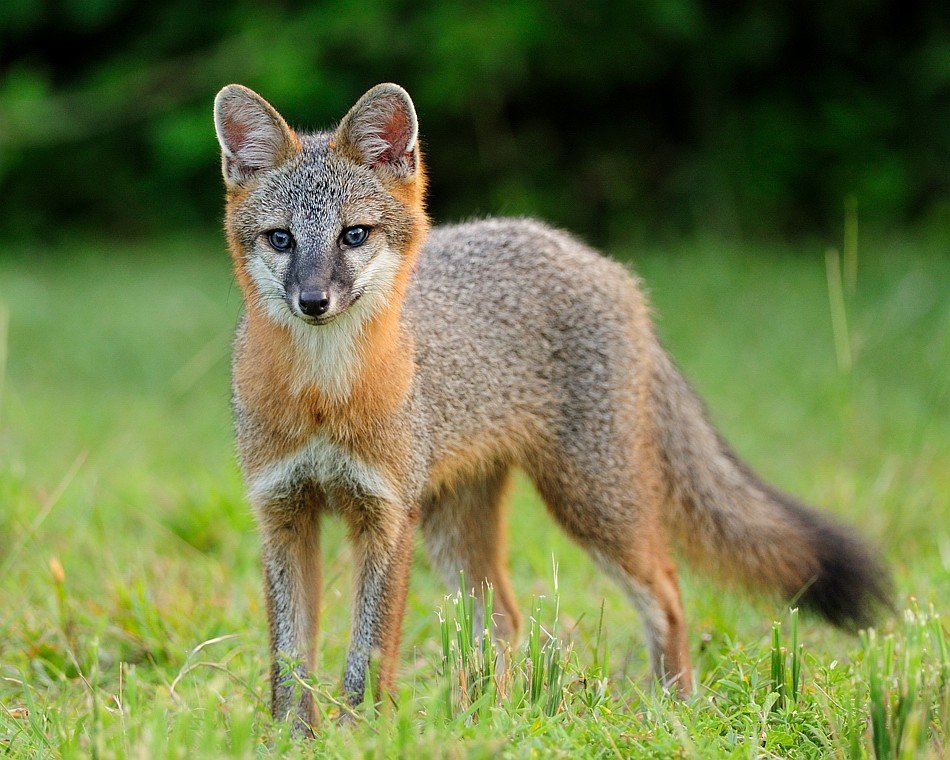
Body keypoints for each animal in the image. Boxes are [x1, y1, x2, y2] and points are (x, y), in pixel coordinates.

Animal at [212, 81, 888, 732]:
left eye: (353, 235)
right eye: (281, 239)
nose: (313, 300)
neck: (322, 399)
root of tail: (598, 261)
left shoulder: (384, 517)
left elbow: (367, 655)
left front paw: (356, 735)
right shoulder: (283, 514)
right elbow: (289, 659)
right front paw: (291, 738)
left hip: (590, 502)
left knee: (668, 594)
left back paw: (670, 709)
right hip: (458, 529)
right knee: (504, 619)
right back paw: (480, 720)